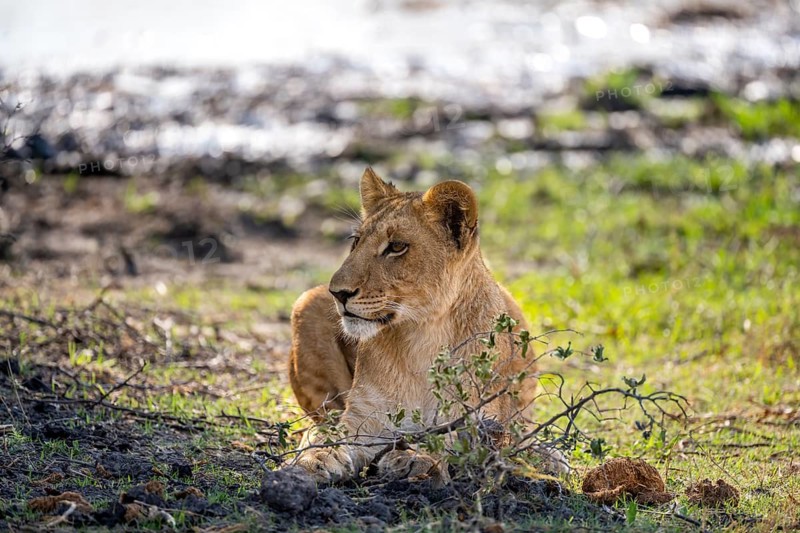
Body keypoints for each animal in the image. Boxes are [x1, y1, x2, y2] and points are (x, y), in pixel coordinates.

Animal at [287, 167, 565, 484]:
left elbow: (445, 438)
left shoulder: (477, 420)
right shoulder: (362, 418)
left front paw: (412, 457)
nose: (338, 293)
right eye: (355, 241)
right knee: (321, 419)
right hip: (306, 303)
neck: (421, 337)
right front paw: (314, 459)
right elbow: (330, 435)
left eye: (396, 247)